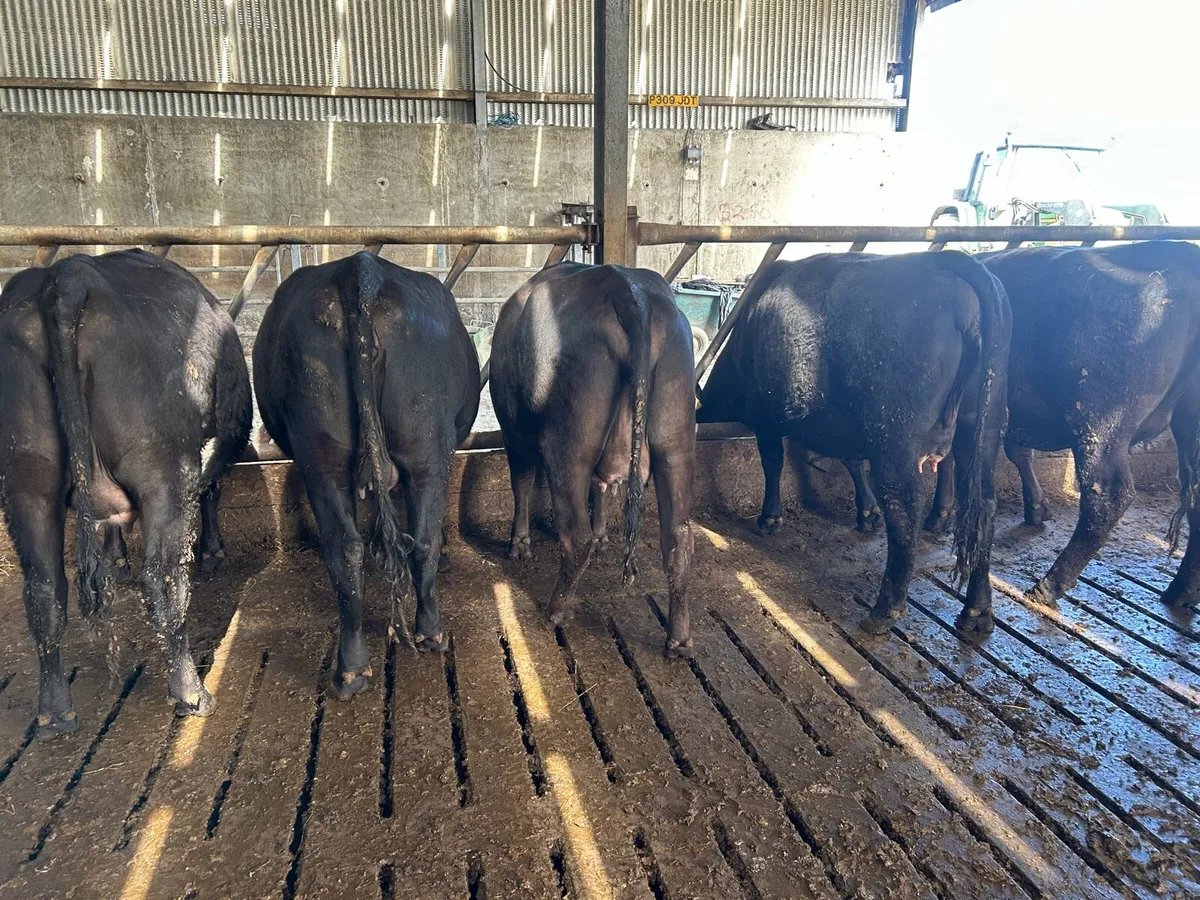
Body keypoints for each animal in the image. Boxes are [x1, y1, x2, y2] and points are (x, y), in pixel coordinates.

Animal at [0, 249, 251, 739]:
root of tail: (70, 276)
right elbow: (211, 491)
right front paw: (213, 550)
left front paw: (115, 558)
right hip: (163, 472)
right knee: (164, 583)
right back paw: (191, 692)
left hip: (27, 481)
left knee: (45, 591)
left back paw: (54, 712)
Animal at [253, 251, 479, 698]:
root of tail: (360, 272)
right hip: (420, 449)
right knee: (413, 540)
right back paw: (422, 637)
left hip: (326, 457)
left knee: (353, 548)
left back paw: (357, 667)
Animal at [489, 263, 697, 657]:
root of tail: (628, 288)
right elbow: (599, 489)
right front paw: (603, 536)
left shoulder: (513, 429)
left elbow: (521, 481)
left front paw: (519, 544)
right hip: (675, 439)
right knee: (678, 538)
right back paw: (679, 638)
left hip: (567, 443)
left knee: (575, 534)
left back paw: (556, 611)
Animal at [697, 251, 1011, 636]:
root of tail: (943, 261)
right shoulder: (845, 422)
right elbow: (852, 461)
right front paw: (867, 511)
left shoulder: (765, 414)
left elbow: (773, 462)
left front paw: (770, 517)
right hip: (982, 428)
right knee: (983, 506)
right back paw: (977, 610)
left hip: (894, 436)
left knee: (907, 505)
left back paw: (886, 608)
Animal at [912, 241, 1200, 607]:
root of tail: (1178, 252)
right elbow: (1012, 452)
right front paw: (1035, 507)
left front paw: (939, 514)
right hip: (1190, 423)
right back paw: (1181, 590)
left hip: (1102, 422)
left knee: (1106, 496)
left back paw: (1049, 584)